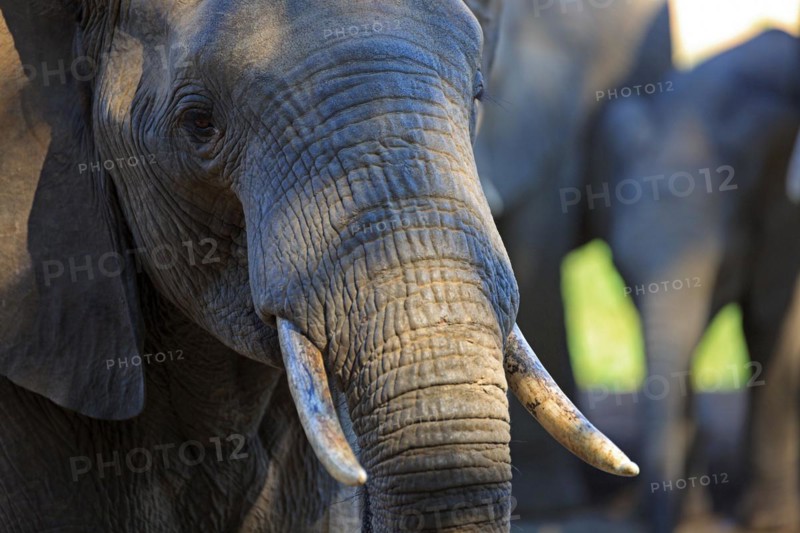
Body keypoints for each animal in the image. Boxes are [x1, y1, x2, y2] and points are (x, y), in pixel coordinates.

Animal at [584, 29, 800, 532]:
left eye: (727, 263)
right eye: (620, 268)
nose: (660, 519)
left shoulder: (786, 220)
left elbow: (771, 329)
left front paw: (769, 522)